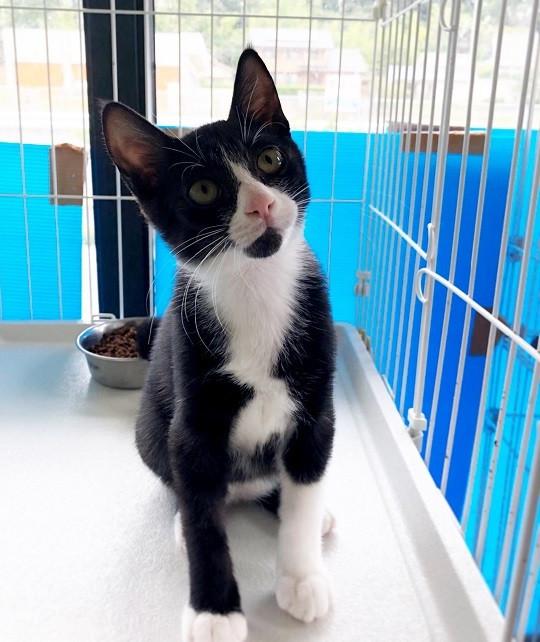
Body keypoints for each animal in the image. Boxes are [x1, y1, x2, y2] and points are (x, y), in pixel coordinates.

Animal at [102, 48, 336, 642]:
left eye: (270, 159)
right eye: (203, 191)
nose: (261, 205)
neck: (256, 291)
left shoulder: (317, 414)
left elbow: (302, 496)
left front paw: (302, 578)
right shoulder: (195, 423)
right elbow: (205, 518)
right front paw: (214, 610)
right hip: (150, 429)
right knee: (189, 486)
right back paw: (183, 523)